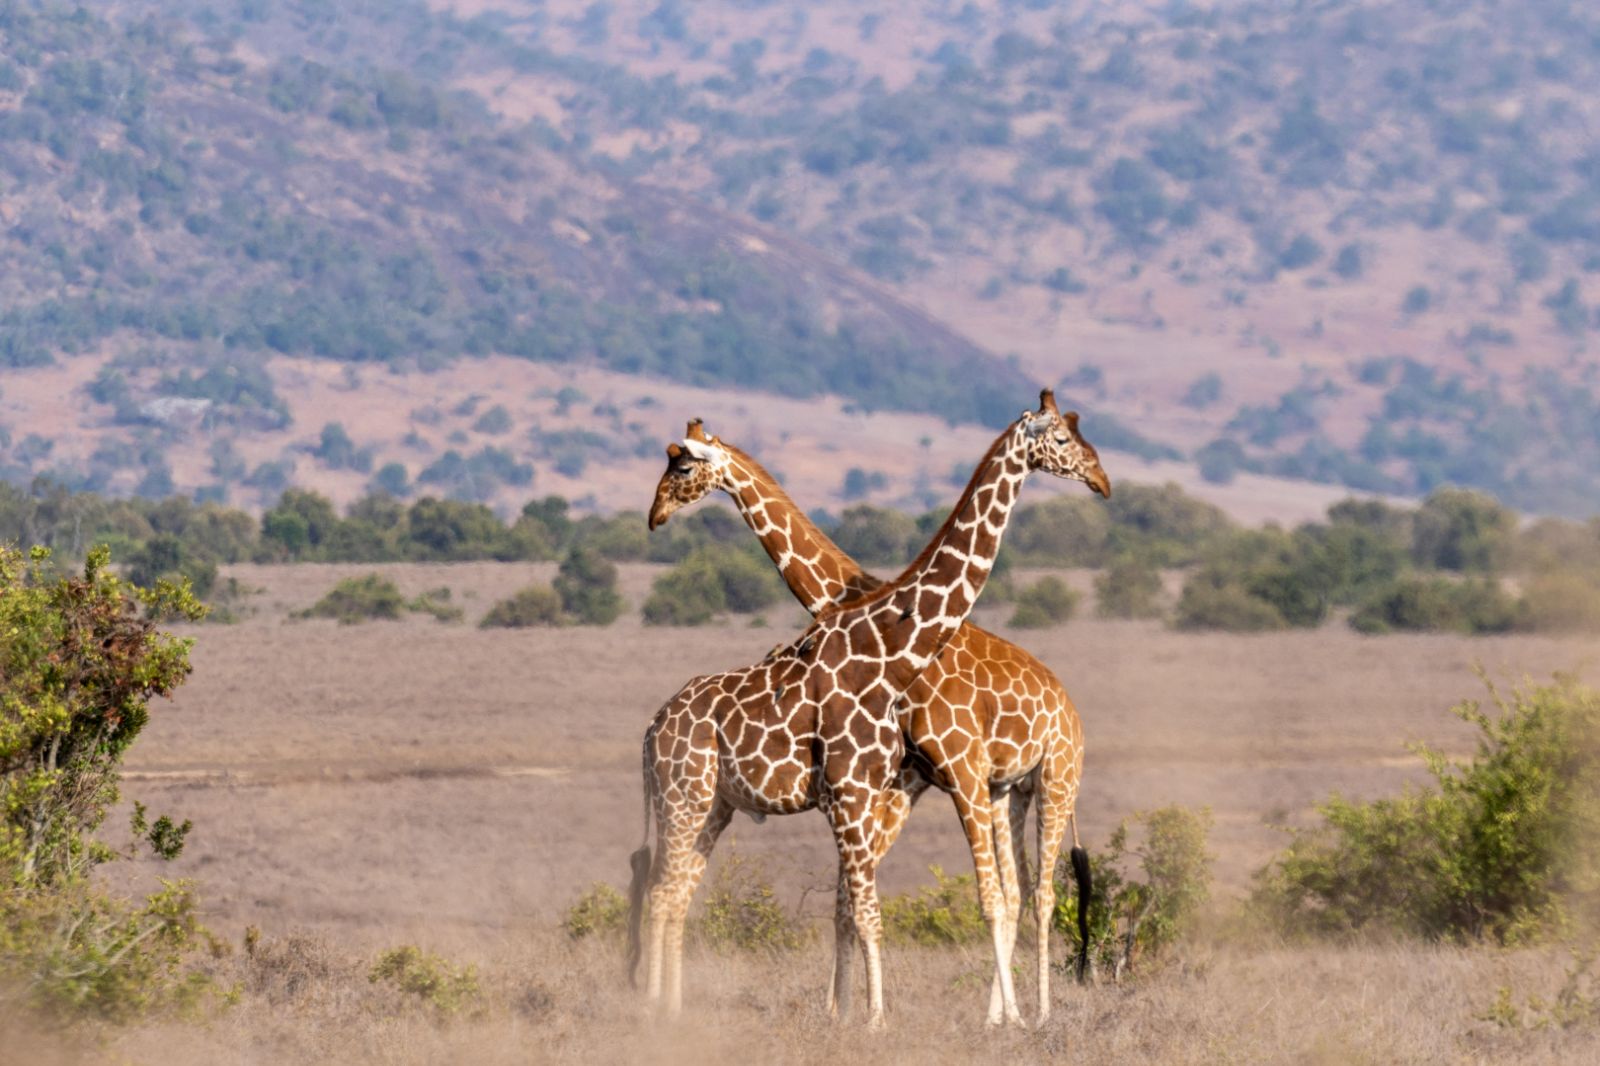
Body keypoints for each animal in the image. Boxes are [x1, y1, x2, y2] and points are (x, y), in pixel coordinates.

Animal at [624, 391, 1110, 1029]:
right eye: (1060, 437)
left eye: (679, 466)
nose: (1102, 479)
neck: (878, 638)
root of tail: (652, 729)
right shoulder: (866, 791)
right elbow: (862, 909)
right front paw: (862, 1016)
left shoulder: (892, 786)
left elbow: (869, 907)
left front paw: (856, 1014)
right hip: (694, 799)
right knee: (664, 891)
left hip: (1046, 779)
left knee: (1036, 893)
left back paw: (1032, 1014)